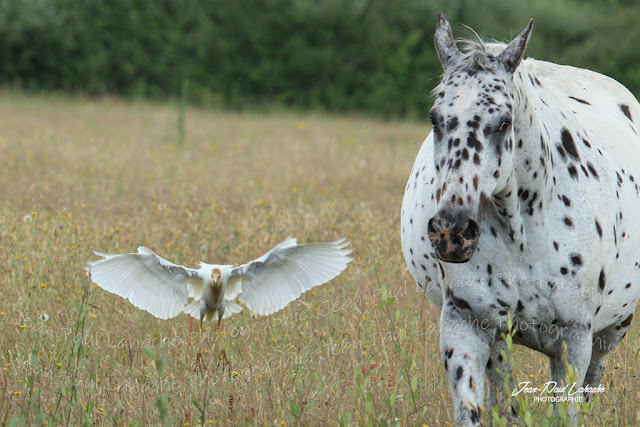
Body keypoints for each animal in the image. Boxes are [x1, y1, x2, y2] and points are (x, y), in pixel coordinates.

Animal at [400, 11, 640, 426]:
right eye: (435, 119)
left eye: (502, 122)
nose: (452, 232)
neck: (523, 235)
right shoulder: (465, 326)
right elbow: (474, 408)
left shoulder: (574, 338)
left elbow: (569, 408)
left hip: (610, 331)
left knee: (592, 380)